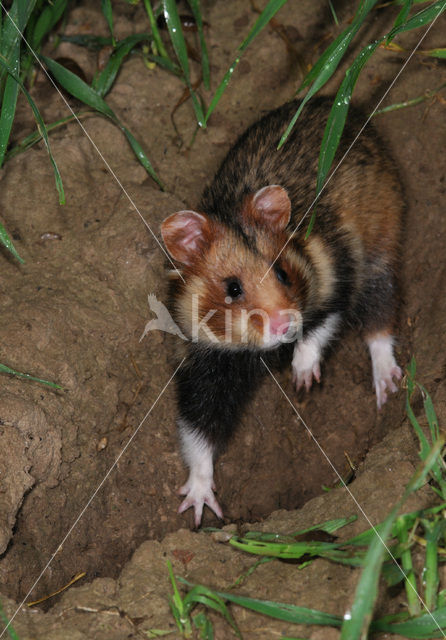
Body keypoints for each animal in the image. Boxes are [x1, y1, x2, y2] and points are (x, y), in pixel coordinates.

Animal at [161, 95, 404, 524]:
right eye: (232, 288)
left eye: (282, 273)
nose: (283, 324)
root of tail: (352, 106)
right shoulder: (202, 365)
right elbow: (197, 434)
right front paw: (199, 507)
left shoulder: (337, 274)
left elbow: (322, 325)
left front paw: (303, 379)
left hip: (381, 243)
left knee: (380, 317)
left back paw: (386, 387)